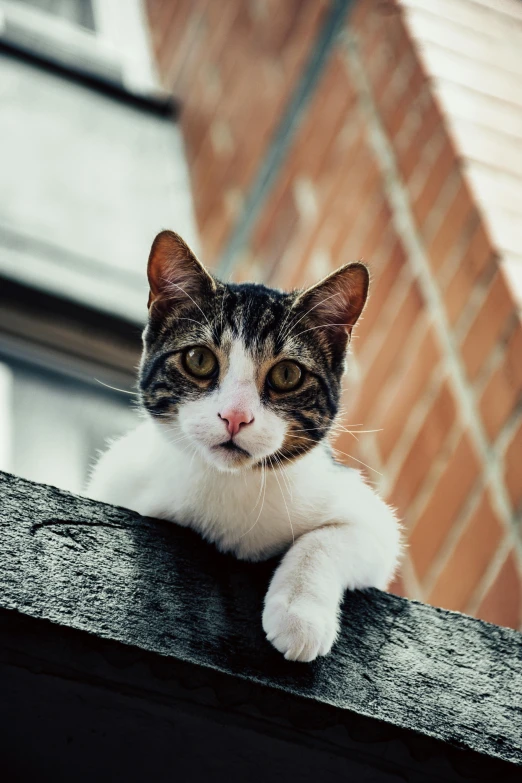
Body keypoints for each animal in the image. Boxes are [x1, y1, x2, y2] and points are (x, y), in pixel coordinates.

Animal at [87, 231, 400, 660]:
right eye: (199, 359)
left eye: (287, 374)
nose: (235, 417)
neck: (228, 486)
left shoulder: (370, 518)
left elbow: (329, 538)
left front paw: (298, 614)